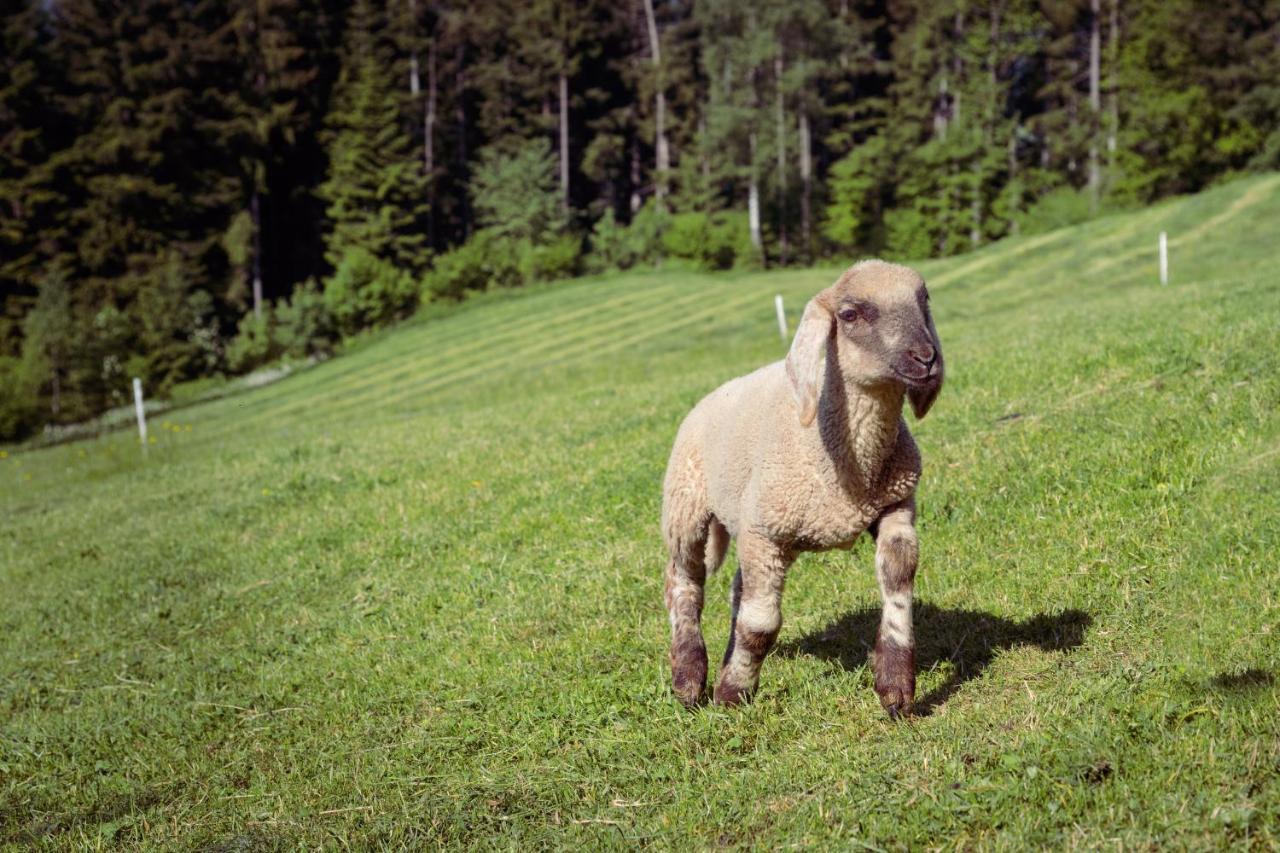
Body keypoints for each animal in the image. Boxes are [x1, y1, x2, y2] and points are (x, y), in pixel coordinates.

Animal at [660, 257, 942, 712]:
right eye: (850, 314)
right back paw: (689, 678)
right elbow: (760, 623)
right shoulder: (765, 532)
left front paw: (896, 685)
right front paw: (731, 694)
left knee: (737, 589)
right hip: (686, 507)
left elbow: (898, 577)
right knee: (684, 583)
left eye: (924, 299)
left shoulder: (896, 503)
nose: (926, 358)